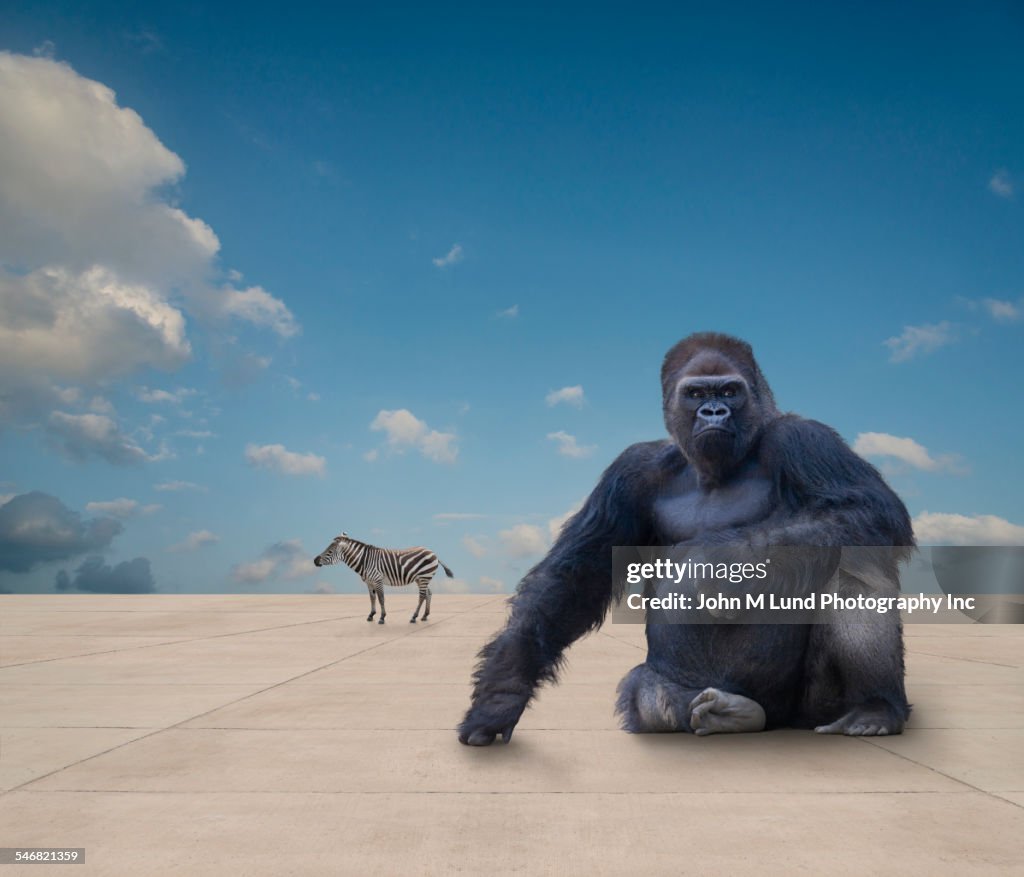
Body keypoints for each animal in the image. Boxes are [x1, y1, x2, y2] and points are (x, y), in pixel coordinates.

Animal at [313, 532, 454, 622]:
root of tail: (434, 553)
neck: (364, 560)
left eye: (330, 551)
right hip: (422, 578)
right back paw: (424, 616)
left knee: (422, 596)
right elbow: (372, 598)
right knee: (428, 594)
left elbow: (381, 598)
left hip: (424, 577)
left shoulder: (377, 579)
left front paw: (382, 618)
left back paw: (414, 617)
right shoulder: (369, 582)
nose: (315, 561)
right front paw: (371, 615)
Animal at [456, 331, 913, 741]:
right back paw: (730, 714)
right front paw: (501, 695)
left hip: (809, 709)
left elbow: (868, 508)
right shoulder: (631, 470)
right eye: (696, 394)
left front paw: (712, 562)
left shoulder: (804, 437)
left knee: (855, 558)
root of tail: (774, 721)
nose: (714, 412)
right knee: (649, 697)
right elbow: (575, 577)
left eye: (729, 390)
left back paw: (874, 708)